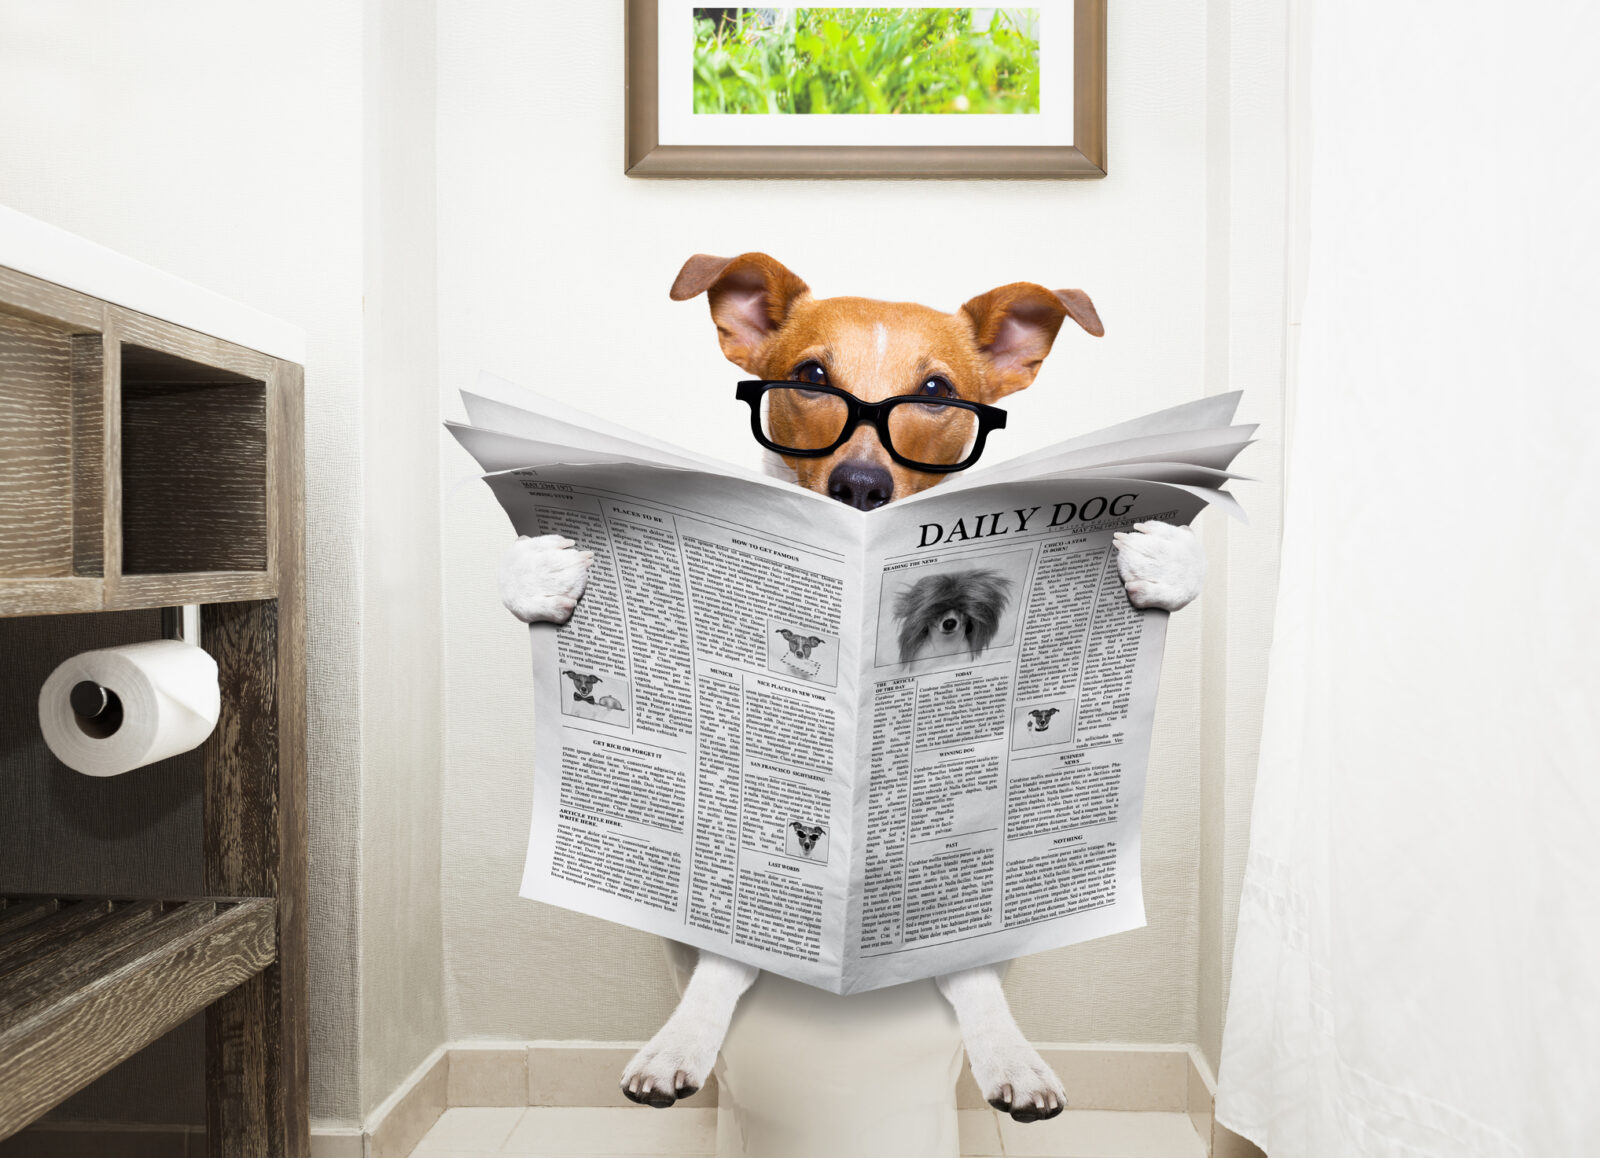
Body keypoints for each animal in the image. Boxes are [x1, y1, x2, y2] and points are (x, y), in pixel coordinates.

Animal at [492, 252, 1203, 1119]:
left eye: (936, 392)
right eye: (810, 376)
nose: (862, 487)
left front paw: (1160, 562)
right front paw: (544, 574)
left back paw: (1010, 1056)